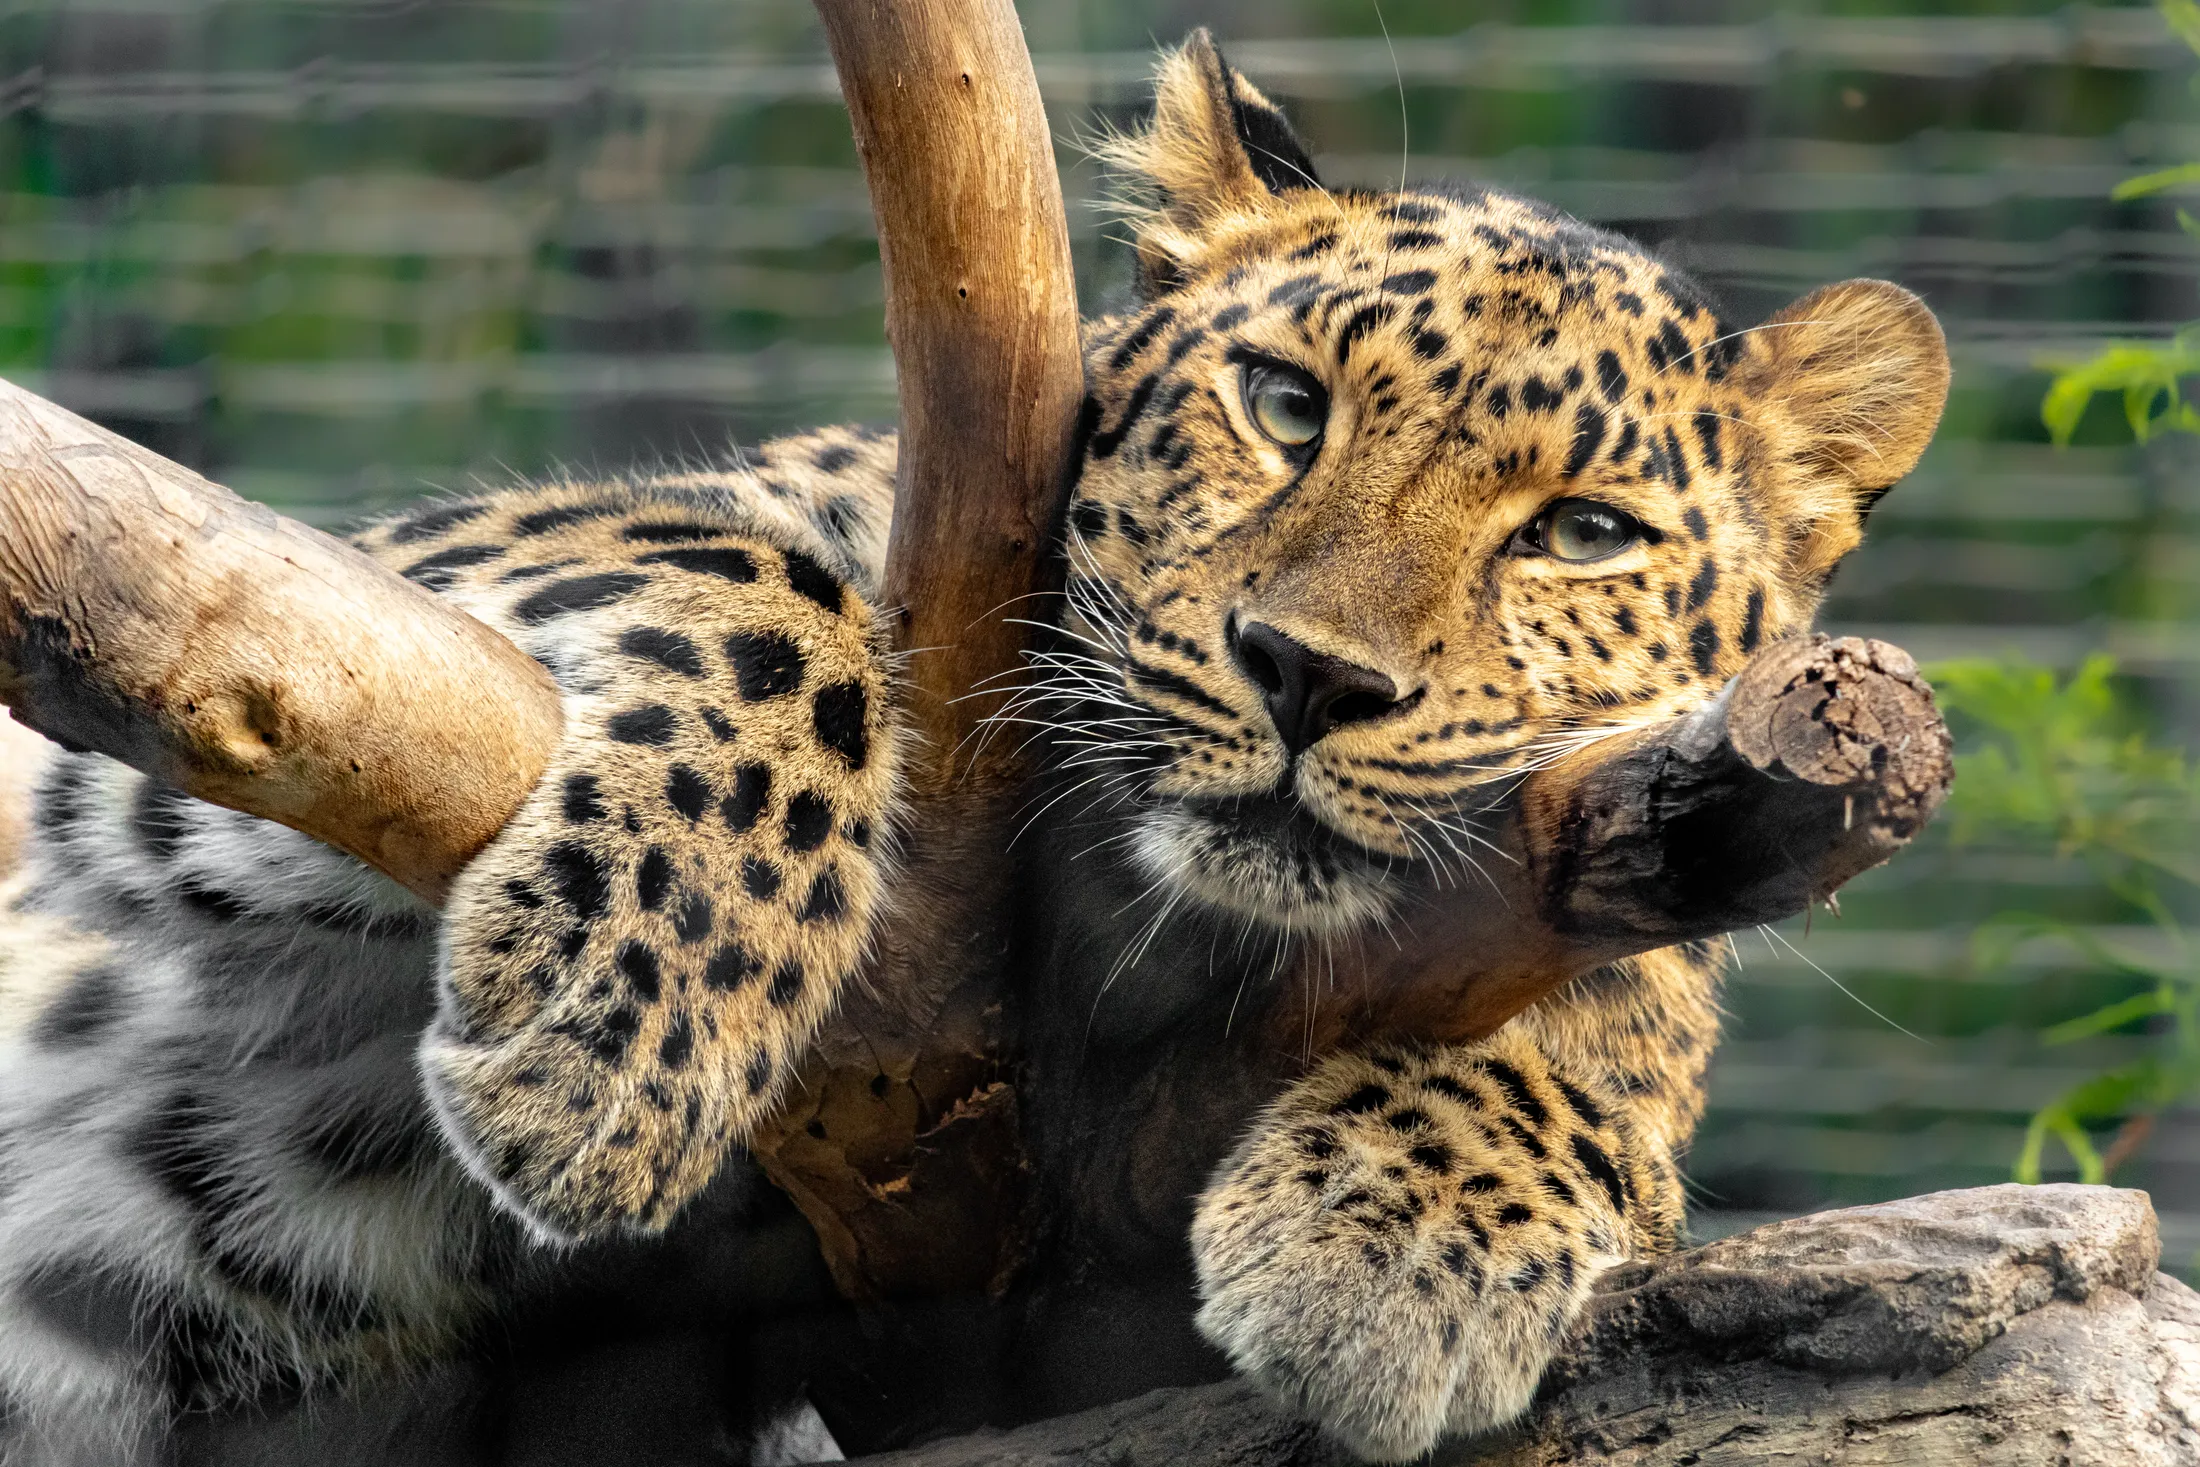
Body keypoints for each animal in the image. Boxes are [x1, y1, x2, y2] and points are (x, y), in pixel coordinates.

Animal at [0, 30, 1947, 1467]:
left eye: (1584, 534)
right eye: (1287, 405)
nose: (1311, 677)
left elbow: (1624, 1043)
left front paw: (1406, 1238)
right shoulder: (244, 677)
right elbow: (759, 578)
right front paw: (615, 1043)